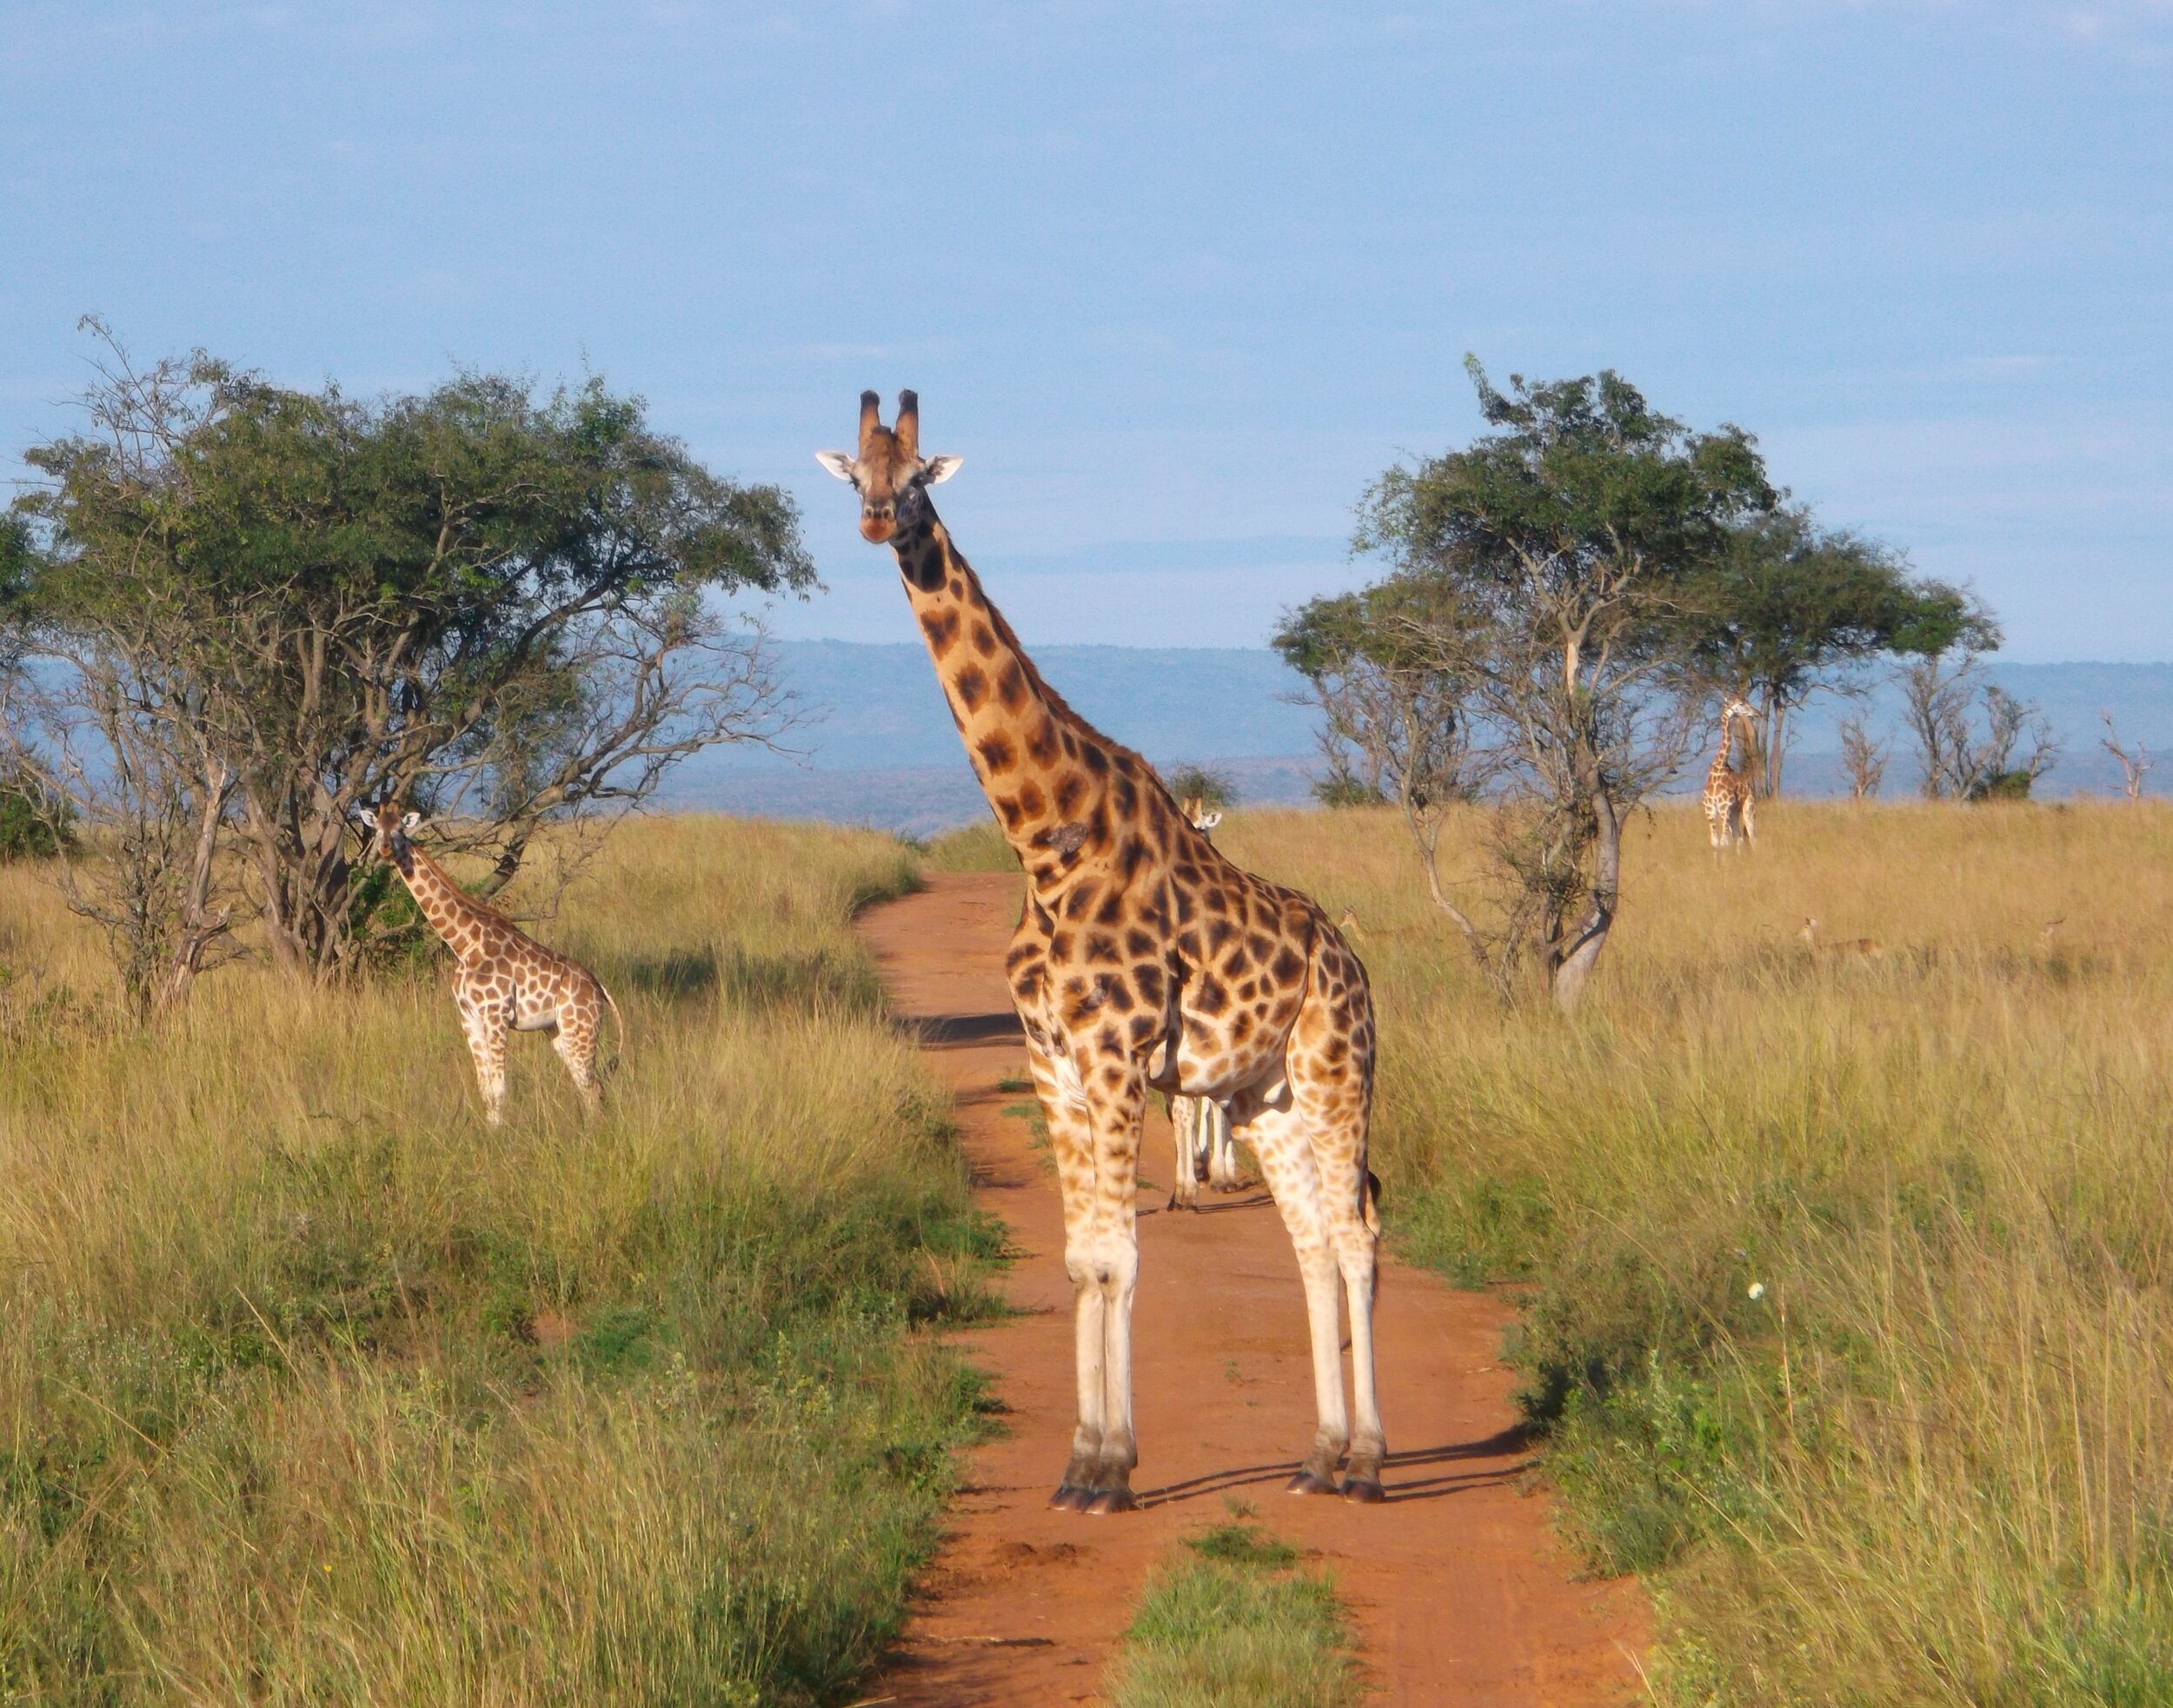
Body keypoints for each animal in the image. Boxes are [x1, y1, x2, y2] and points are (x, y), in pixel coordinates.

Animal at [356, 804, 626, 1121]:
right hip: (558, 1030)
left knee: (591, 1085)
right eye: (377, 829)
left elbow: (499, 1088)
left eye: (400, 829)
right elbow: (485, 1088)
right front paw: (489, 1130)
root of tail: (599, 989)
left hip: (579, 1026)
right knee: (588, 1085)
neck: (464, 943)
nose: (386, 848)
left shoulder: (496, 1015)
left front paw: (499, 1133)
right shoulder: (469, 1017)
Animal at [821, 395, 1382, 1504]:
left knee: (1354, 1235)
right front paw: (1082, 1460)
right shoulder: (1051, 1058)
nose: (874, 520)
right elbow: (1084, 1258)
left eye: (918, 478)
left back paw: (1373, 1460)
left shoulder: (1117, 1054)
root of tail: (1355, 968)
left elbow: (1121, 1258)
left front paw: (1111, 1471)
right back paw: (1320, 1454)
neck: (1044, 837)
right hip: (1268, 1096)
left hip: (1336, 1075)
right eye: (853, 474)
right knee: (1308, 1243)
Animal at [1695, 691, 1764, 852]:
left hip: (1748, 809)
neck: (1718, 770)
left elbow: (1723, 843)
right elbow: (1715, 843)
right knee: (1739, 838)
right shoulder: (1710, 811)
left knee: (1752, 838)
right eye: (1741, 704)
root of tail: (1751, 790)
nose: (1757, 713)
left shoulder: (1724, 808)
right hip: (1734, 813)